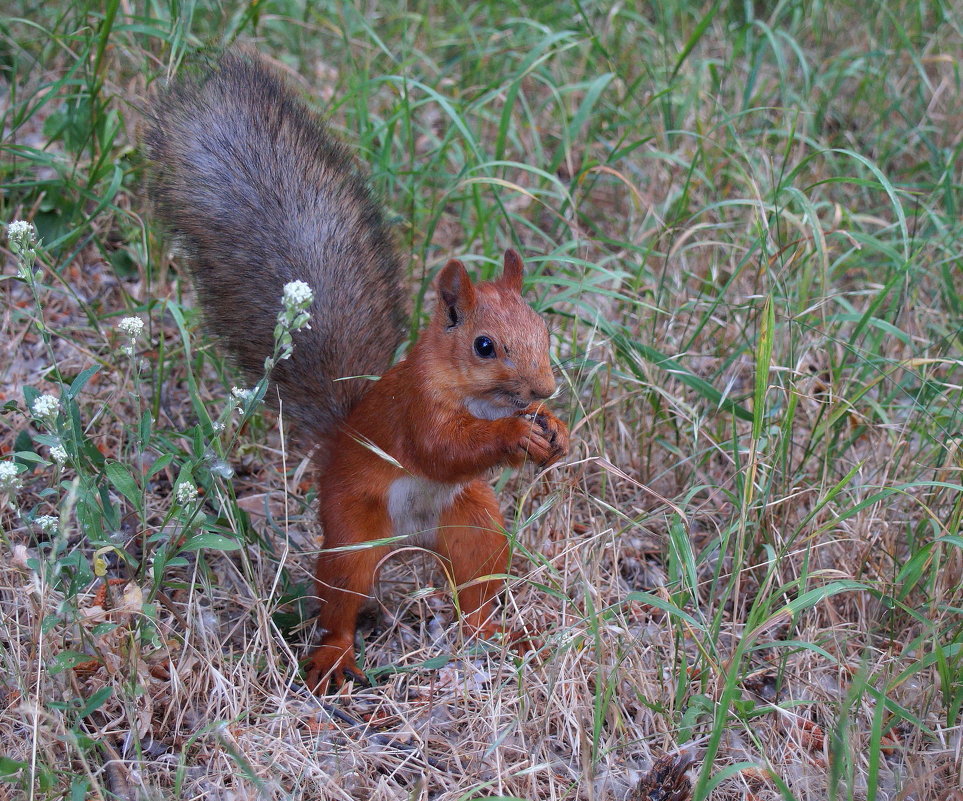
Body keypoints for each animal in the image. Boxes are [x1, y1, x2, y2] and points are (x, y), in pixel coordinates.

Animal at [146, 50, 568, 692]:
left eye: (544, 330)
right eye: (484, 346)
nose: (545, 387)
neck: (477, 399)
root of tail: (412, 537)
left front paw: (554, 431)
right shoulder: (415, 407)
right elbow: (442, 448)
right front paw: (516, 434)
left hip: (475, 527)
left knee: (475, 589)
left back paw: (497, 633)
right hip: (351, 533)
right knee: (341, 600)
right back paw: (333, 659)